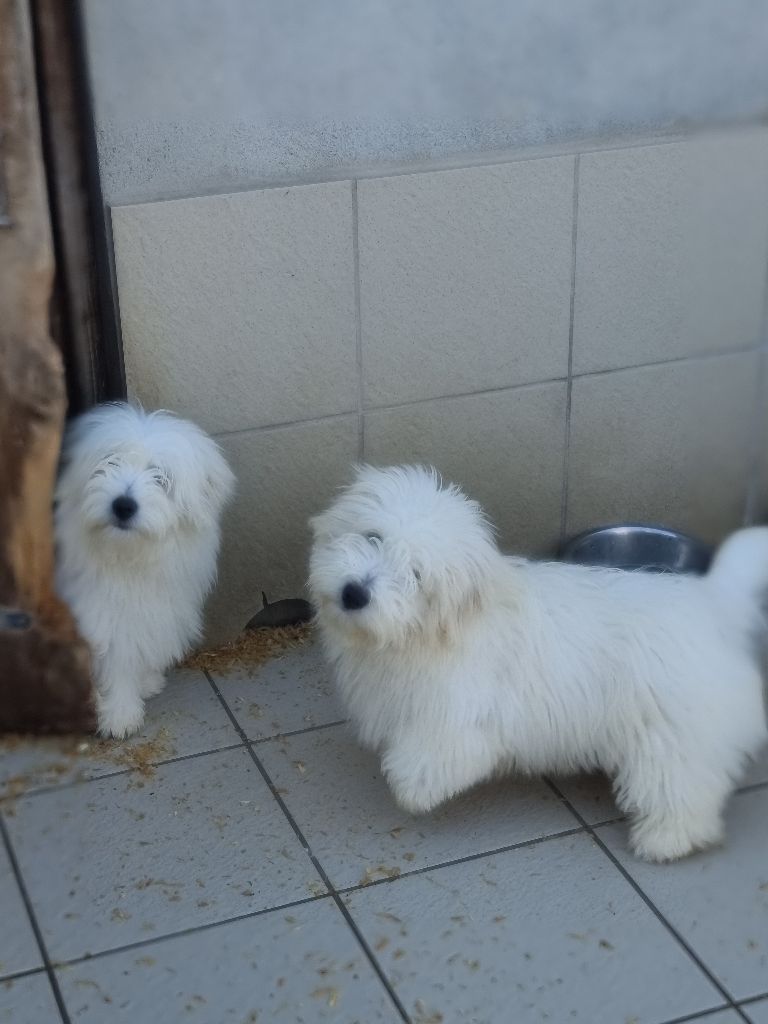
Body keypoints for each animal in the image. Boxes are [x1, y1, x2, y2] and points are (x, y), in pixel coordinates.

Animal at [55, 402, 235, 738]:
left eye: (161, 478)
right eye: (109, 461)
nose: (123, 505)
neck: (129, 557)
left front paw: (147, 681)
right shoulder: (102, 618)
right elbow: (116, 663)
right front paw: (119, 716)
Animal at [309, 464, 768, 862]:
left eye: (417, 575)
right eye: (373, 536)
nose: (354, 593)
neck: (426, 634)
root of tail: (713, 602)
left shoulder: (461, 716)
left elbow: (436, 757)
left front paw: (411, 789)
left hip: (671, 732)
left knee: (682, 787)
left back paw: (665, 839)